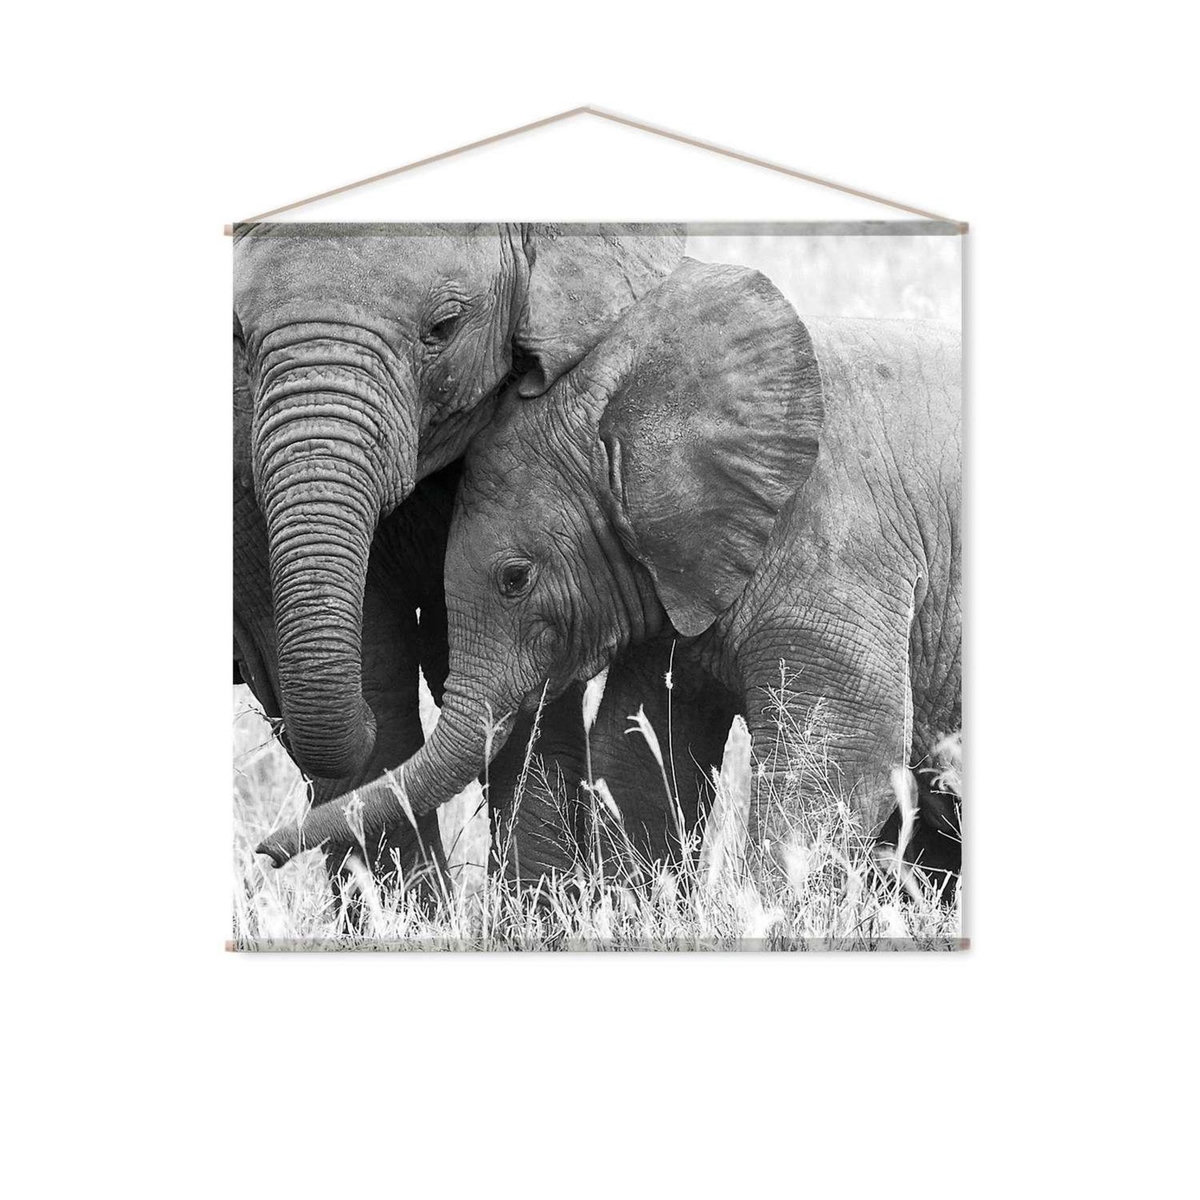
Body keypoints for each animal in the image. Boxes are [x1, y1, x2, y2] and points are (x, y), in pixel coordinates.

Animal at [257, 258, 962, 878]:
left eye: (515, 579)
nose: (262, 853)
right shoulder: (675, 574)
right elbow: (640, 757)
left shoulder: (839, 546)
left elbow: (840, 767)